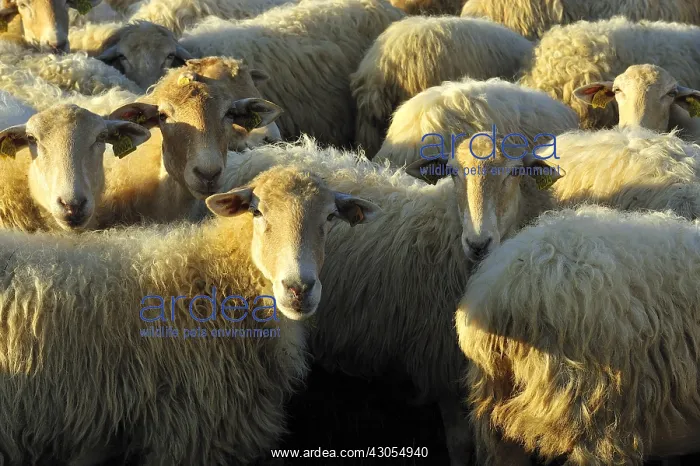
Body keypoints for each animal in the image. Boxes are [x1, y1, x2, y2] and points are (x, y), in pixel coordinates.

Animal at [220, 134, 564, 466]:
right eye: (453, 173)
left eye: (515, 173)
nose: (478, 243)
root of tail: (247, 156)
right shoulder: (441, 364)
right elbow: (459, 444)